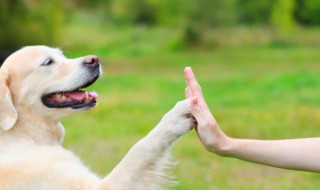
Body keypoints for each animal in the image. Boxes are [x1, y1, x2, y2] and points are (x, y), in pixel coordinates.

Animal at [0, 46, 195, 190]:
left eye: (62, 55)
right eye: (48, 62)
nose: (94, 59)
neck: (23, 133)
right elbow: (140, 149)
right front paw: (175, 118)